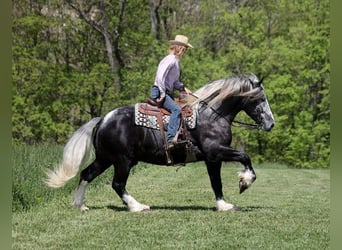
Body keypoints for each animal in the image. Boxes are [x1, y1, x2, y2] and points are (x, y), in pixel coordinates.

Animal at [45, 73, 276, 211]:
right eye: (260, 98)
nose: (271, 123)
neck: (212, 116)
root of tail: (103, 119)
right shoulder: (216, 151)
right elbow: (244, 157)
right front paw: (244, 183)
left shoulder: (212, 158)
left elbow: (215, 181)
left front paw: (223, 204)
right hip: (122, 161)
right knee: (117, 184)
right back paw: (137, 206)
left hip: (105, 159)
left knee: (86, 174)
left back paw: (79, 205)